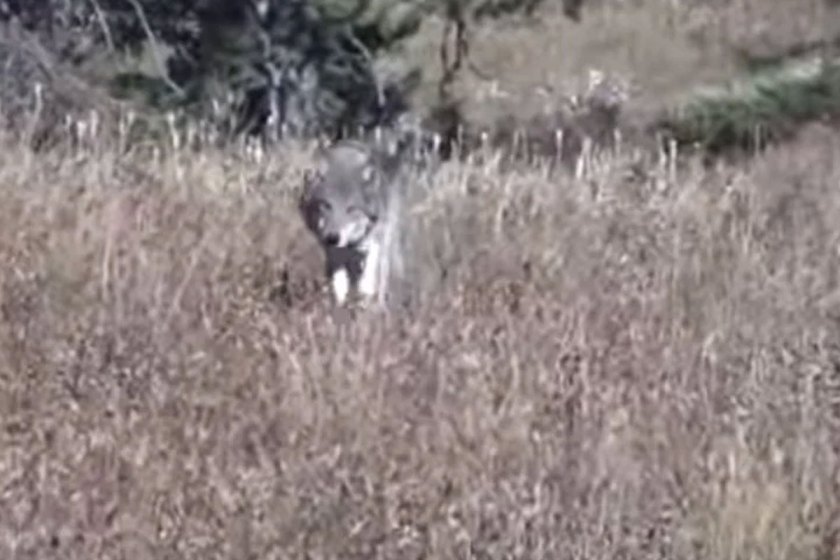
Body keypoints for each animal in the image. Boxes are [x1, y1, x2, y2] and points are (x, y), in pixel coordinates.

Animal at [298, 138, 406, 308]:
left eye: (351, 209)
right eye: (326, 205)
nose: (332, 238)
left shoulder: (374, 242)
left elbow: (367, 284)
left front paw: (364, 307)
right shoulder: (333, 252)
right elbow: (339, 285)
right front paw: (339, 309)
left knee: (381, 277)